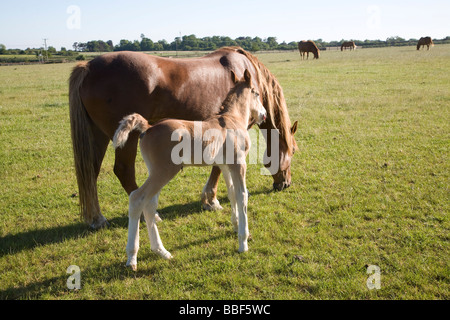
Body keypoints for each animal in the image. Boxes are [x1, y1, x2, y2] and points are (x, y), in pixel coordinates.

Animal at [67, 46, 298, 229]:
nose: (286, 184)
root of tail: (88, 67)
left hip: (98, 135)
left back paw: (97, 218)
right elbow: (216, 168)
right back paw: (149, 215)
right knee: (124, 172)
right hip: (127, 140)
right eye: (293, 151)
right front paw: (211, 200)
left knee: (91, 171)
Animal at [112, 70, 268, 270]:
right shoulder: (239, 164)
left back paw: (161, 251)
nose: (264, 114)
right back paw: (132, 257)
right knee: (137, 198)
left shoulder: (226, 166)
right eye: (256, 93)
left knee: (149, 204)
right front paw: (243, 242)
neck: (232, 120)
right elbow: (242, 195)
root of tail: (148, 127)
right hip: (164, 171)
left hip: (156, 172)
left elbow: (232, 193)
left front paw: (235, 225)